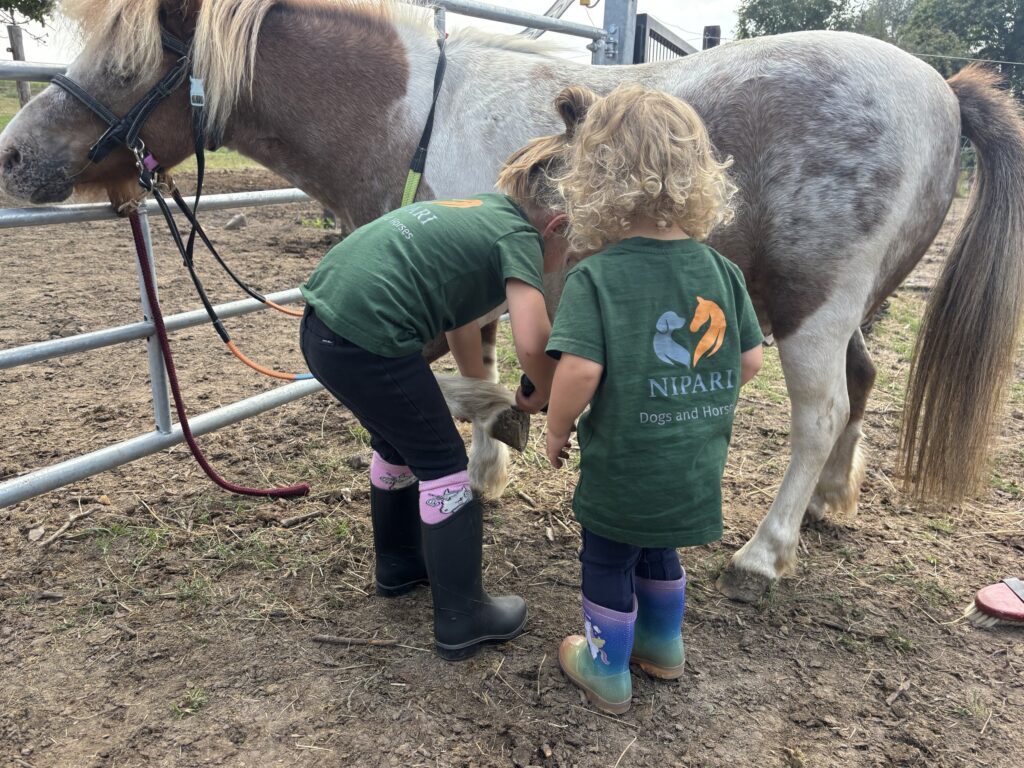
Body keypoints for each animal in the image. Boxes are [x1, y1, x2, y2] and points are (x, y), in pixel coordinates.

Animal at [2, 0, 1022, 603]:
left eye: (127, 63)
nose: (14, 156)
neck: (408, 115)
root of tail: (940, 90)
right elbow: (485, 376)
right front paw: (497, 457)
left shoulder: (464, 298)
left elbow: (467, 384)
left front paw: (484, 465)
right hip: (850, 310)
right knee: (862, 384)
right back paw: (828, 508)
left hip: (812, 306)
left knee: (820, 412)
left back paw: (765, 552)